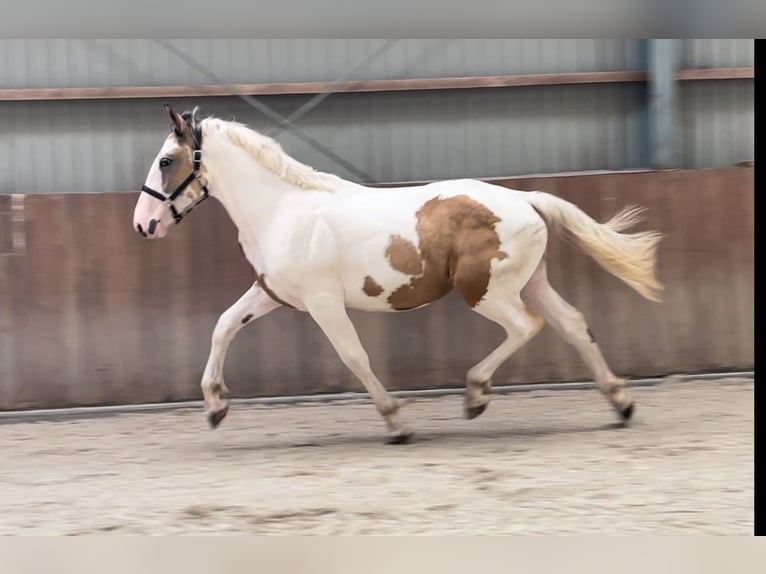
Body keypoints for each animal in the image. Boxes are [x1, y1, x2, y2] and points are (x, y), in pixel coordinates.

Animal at [134, 104, 664, 446]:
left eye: (165, 161)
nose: (144, 225)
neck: (285, 210)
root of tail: (526, 199)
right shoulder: (273, 294)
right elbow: (223, 325)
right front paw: (215, 407)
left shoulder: (323, 303)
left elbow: (354, 356)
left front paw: (397, 423)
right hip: (529, 282)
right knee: (573, 324)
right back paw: (621, 403)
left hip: (486, 292)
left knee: (525, 326)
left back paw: (476, 395)